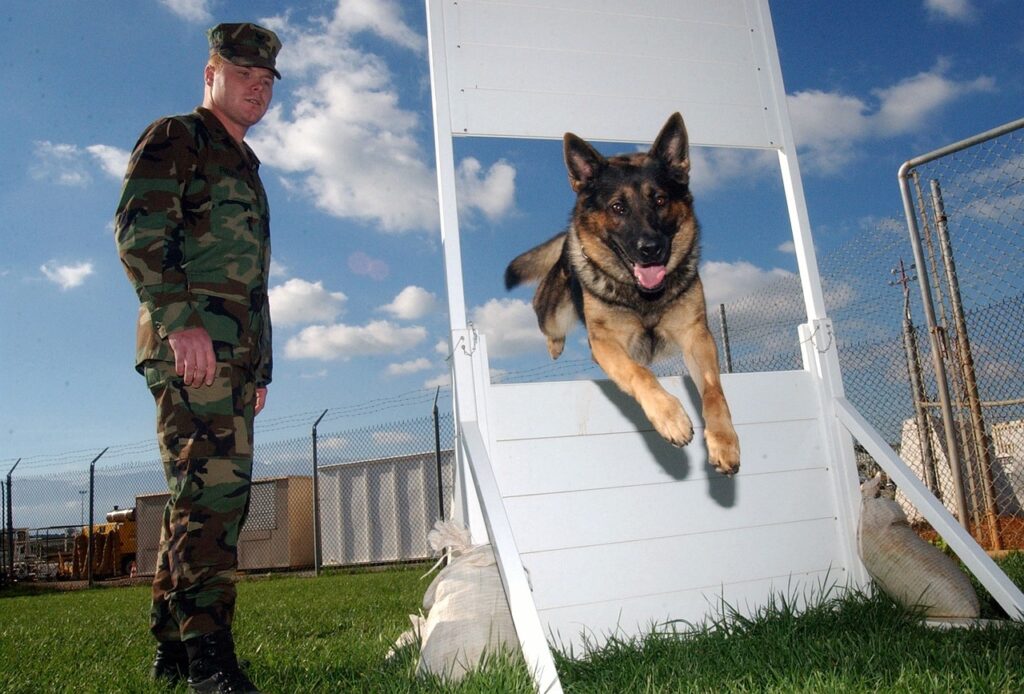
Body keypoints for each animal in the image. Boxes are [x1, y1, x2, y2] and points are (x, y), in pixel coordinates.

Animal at [501, 111, 737, 474]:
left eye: (660, 200)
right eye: (617, 207)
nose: (651, 249)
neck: (643, 297)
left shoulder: (696, 336)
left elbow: (713, 391)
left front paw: (724, 442)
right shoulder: (605, 343)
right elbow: (638, 371)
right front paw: (669, 416)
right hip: (553, 311)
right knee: (541, 310)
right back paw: (554, 344)